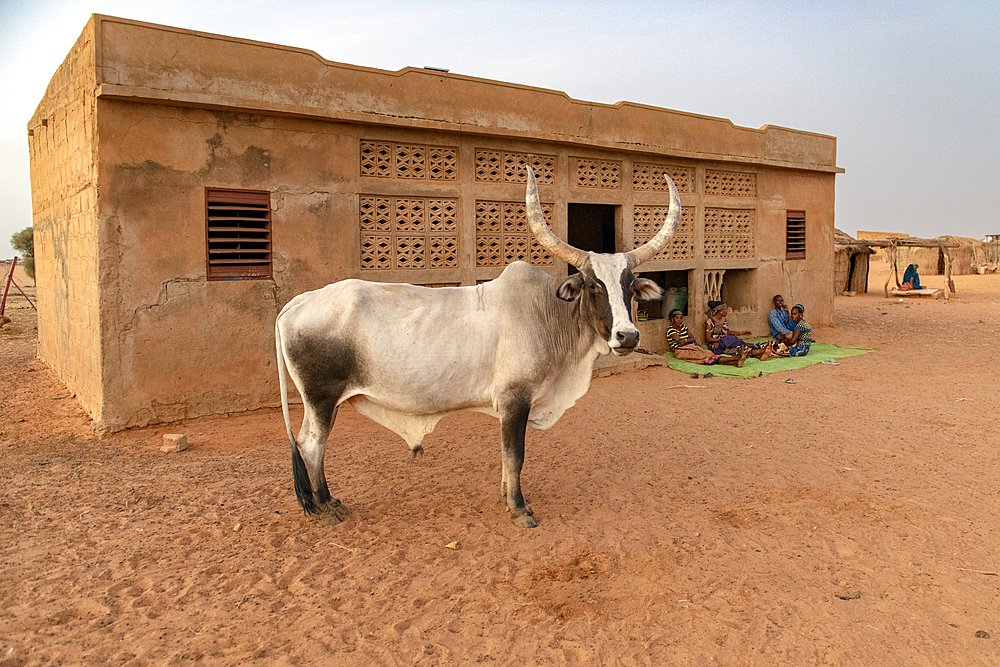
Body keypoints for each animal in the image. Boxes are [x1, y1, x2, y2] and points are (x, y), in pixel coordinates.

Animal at [274, 166, 680, 528]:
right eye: (594, 285)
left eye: (629, 286)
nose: (628, 336)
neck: (545, 312)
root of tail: (296, 303)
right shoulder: (516, 400)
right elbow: (515, 456)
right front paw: (519, 509)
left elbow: (506, 458)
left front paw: (505, 496)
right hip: (321, 398)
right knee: (312, 445)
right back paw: (325, 509)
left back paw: (329, 502)